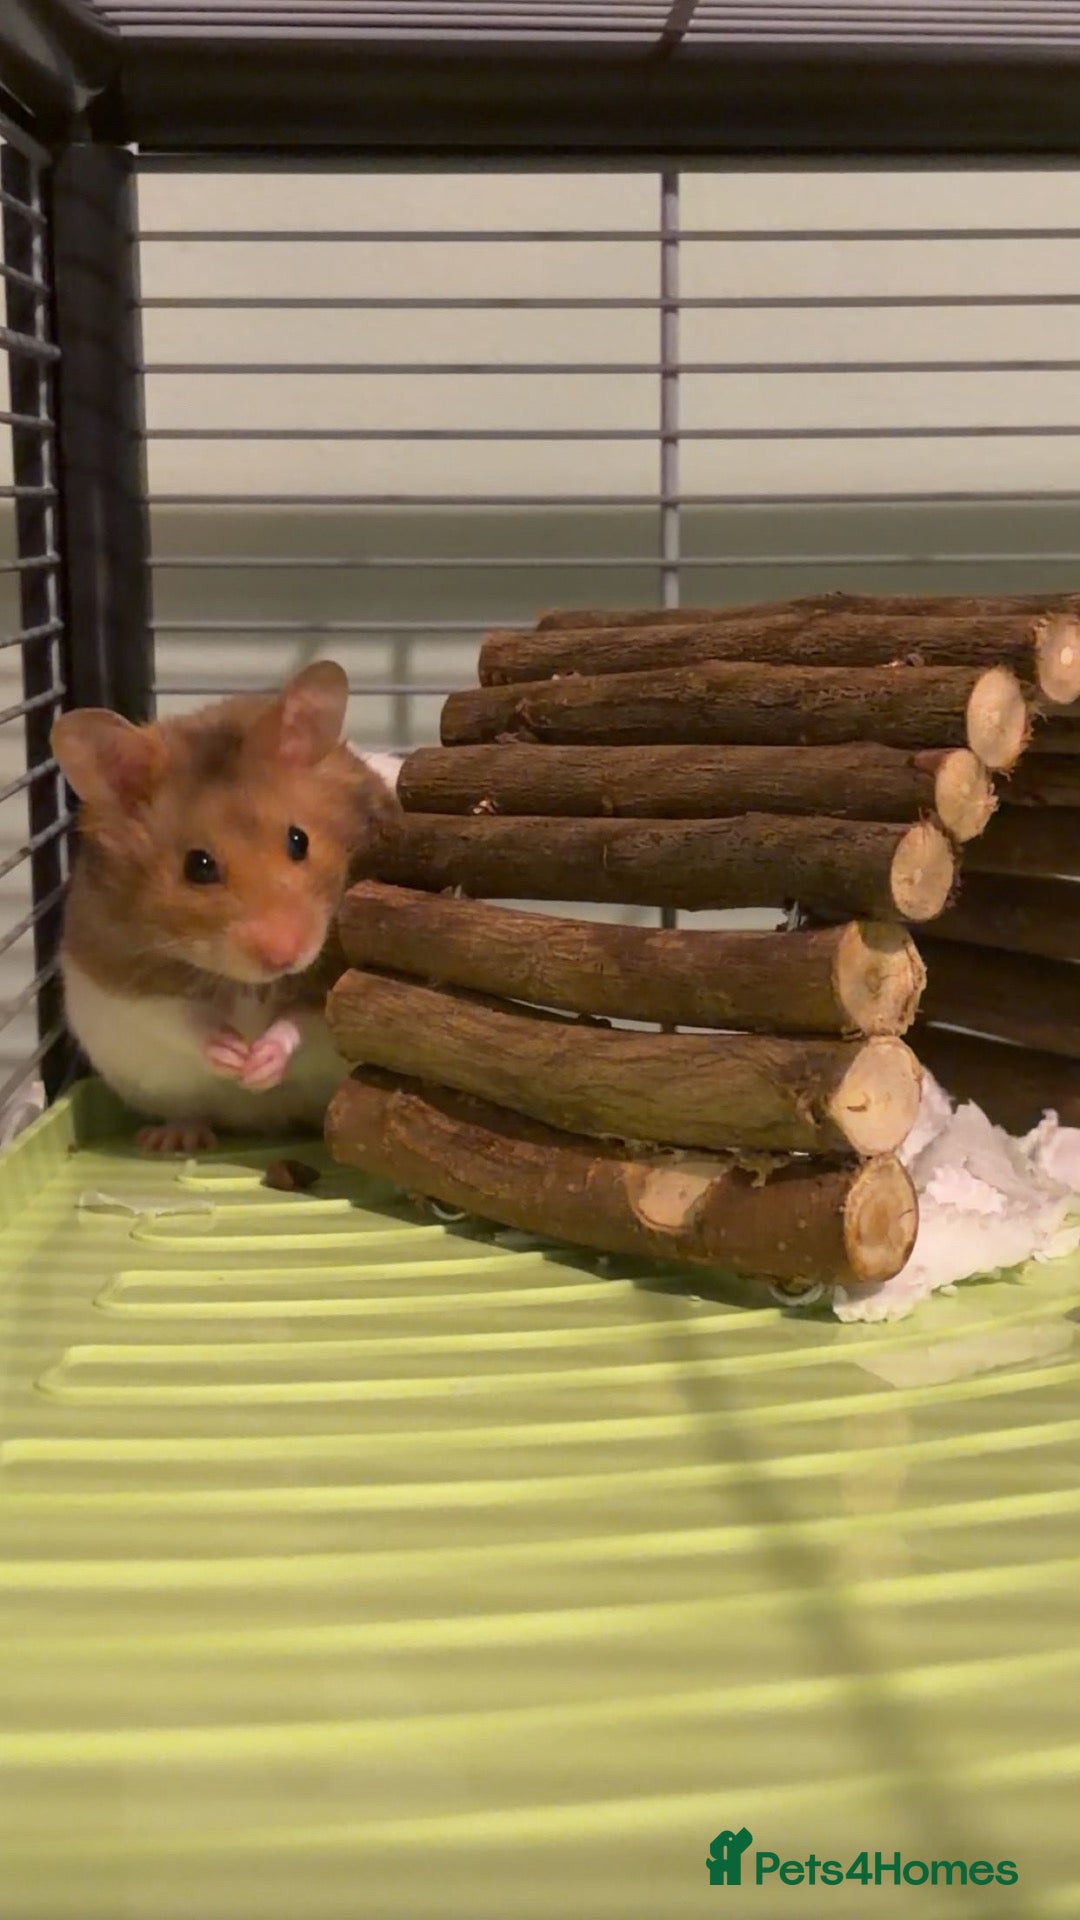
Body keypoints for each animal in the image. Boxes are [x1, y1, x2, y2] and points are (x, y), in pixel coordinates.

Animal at [51, 661, 400, 1155]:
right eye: (197, 866)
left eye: (299, 840)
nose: (284, 956)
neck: (249, 984)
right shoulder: (123, 983)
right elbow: (184, 1020)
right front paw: (235, 1057)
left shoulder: (334, 984)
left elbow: (305, 1023)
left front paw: (258, 1065)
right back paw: (172, 1139)